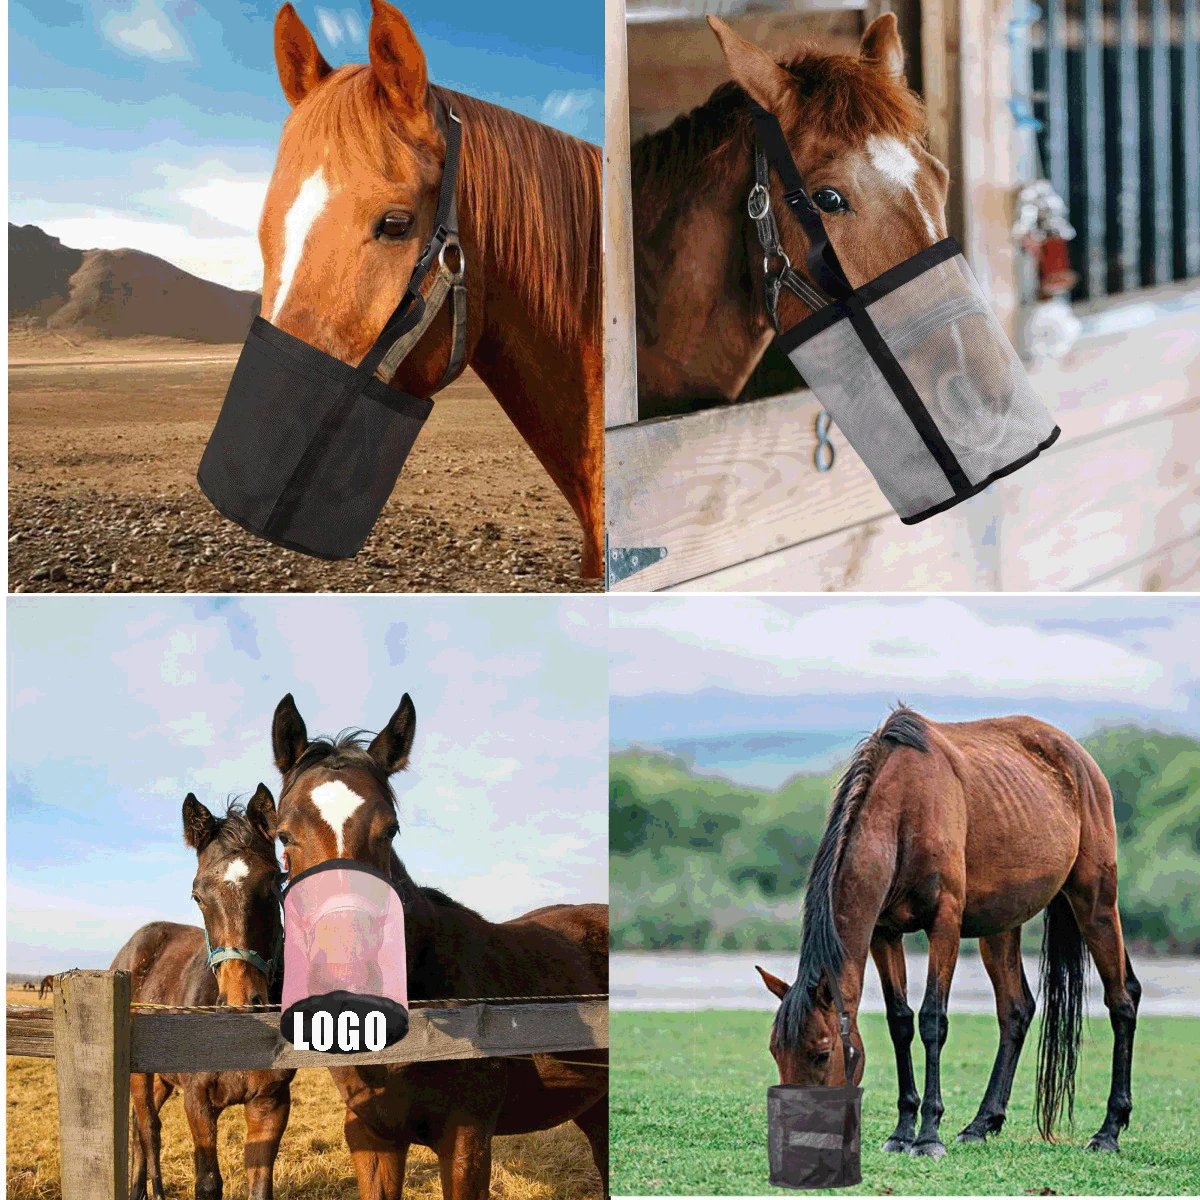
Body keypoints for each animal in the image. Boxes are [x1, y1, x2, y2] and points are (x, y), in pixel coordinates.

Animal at [112, 787, 294, 1200]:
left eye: (274, 885)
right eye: (198, 895)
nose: (241, 1003)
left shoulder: (270, 1102)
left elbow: (260, 1184)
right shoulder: (198, 1101)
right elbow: (208, 1183)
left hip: (163, 1079)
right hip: (140, 1076)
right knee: (148, 1131)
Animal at [757, 706, 1140, 1157]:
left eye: (822, 1053)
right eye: (775, 1051)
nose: (800, 1138)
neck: (905, 810)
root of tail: (1080, 761)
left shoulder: (945, 925)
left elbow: (932, 1021)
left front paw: (927, 1135)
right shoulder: (884, 933)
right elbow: (901, 1022)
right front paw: (902, 1131)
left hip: (1095, 903)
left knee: (1122, 1000)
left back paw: (1109, 1130)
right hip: (1001, 926)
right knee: (1016, 1010)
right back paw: (980, 1123)